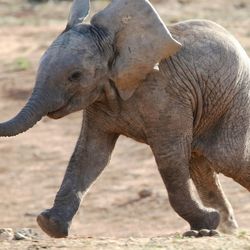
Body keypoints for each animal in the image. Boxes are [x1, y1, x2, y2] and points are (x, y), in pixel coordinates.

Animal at [0, 0, 249, 238]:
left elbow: (169, 157)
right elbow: (90, 155)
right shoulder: (99, 100)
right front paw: (49, 225)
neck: (112, 42)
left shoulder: (166, 96)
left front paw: (207, 223)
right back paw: (227, 228)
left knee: (227, 157)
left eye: (75, 76)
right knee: (200, 163)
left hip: (234, 102)